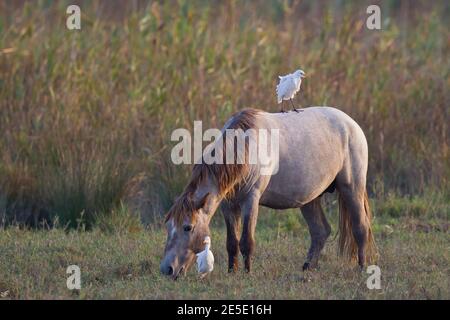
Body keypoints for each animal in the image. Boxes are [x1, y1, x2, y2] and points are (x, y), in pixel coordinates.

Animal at [160, 106, 378, 278]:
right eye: (168, 226)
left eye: (188, 227)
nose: (167, 269)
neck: (244, 148)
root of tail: (351, 124)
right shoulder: (228, 205)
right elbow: (232, 242)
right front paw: (232, 271)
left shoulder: (251, 200)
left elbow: (246, 241)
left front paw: (247, 273)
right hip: (310, 199)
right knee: (320, 231)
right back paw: (308, 267)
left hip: (352, 188)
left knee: (360, 227)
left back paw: (362, 268)